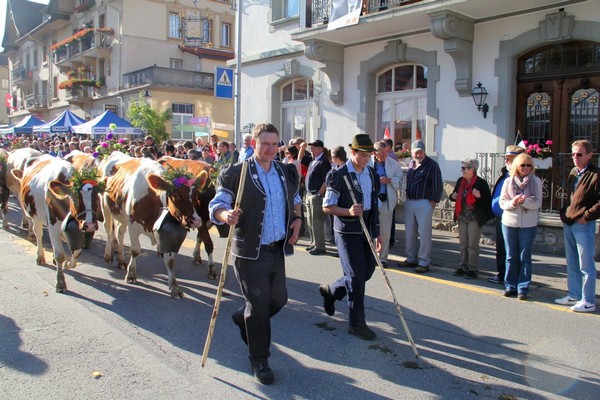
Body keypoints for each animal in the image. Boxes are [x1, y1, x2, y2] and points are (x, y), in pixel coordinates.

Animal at [11, 157, 104, 294]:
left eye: (97, 199)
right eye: (75, 199)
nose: (90, 225)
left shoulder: (76, 227)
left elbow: (76, 252)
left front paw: (67, 264)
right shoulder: (53, 225)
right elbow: (59, 254)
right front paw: (60, 283)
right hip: (35, 216)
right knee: (38, 234)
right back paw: (40, 257)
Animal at [102, 156, 205, 296]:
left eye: (195, 195)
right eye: (175, 195)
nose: (196, 221)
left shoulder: (167, 236)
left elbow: (170, 261)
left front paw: (174, 286)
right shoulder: (133, 225)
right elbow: (135, 250)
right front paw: (131, 274)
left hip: (121, 215)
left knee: (119, 232)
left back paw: (122, 260)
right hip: (105, 205)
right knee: (108, 229)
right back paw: (108, 255)